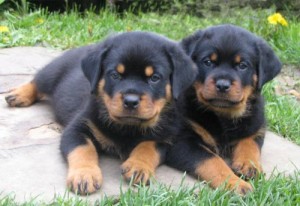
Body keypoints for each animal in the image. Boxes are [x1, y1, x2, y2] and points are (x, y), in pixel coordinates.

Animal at [5, 31, 197, 195]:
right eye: (115, 75)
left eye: (155, 78)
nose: (131, 101)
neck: (128, 128)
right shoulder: (78, 127)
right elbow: (83, 149)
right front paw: (85, 175)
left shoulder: (166, 138)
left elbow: (148, 147)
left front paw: (139, 166)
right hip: (52, 72)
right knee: (37, 82)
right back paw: (18, 94)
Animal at [166, 24, 282, 195]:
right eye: (208, 62)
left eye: (242, 66)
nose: (222, 85)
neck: (223, 115)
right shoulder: (181, 142)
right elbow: (213, 161)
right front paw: (236, 184)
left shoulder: (256, 124)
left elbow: (250, 143)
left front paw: (249, 165)